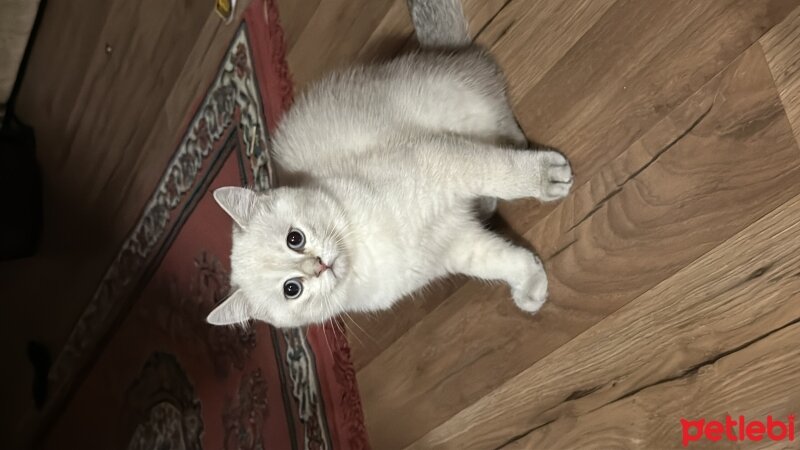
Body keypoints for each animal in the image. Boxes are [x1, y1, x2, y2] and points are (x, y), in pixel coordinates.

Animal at [205, 0, 568, 330]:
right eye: (291, 289)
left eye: (295, 239)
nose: (320, 265)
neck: (364, 249)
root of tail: (440, 54)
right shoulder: (456, 246)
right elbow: (502, 261)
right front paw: (531, 288)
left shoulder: (438, 162)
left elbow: (500, 172)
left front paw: (547, 178)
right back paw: (487, 204)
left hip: (458, 104)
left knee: (500, 114)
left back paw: (522, 157)